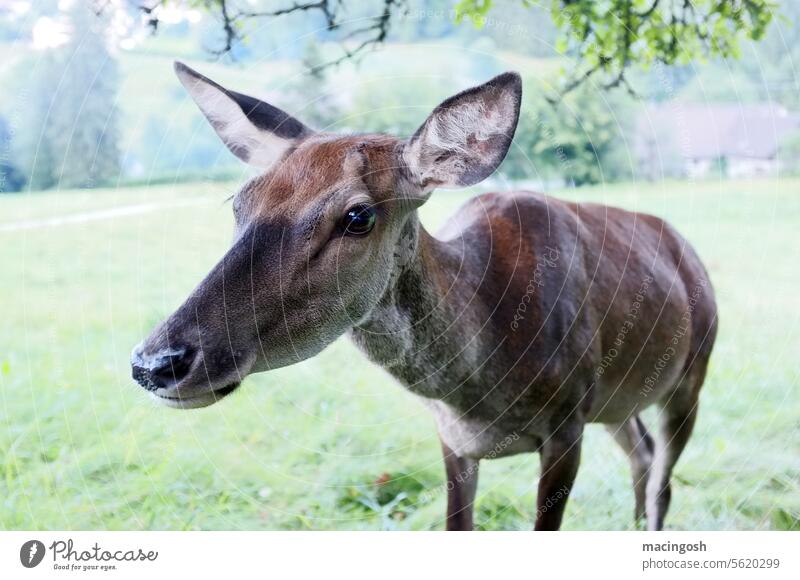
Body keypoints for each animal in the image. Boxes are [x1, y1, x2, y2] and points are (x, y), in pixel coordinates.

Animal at [131, 62, 720, 532]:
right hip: (616, 401)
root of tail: (689, 252)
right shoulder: (453, 439)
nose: (156, 361)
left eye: (358, 215)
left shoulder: (567, 420)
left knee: (664, 477)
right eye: (239, 201)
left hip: (691, 374)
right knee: (642, 453)